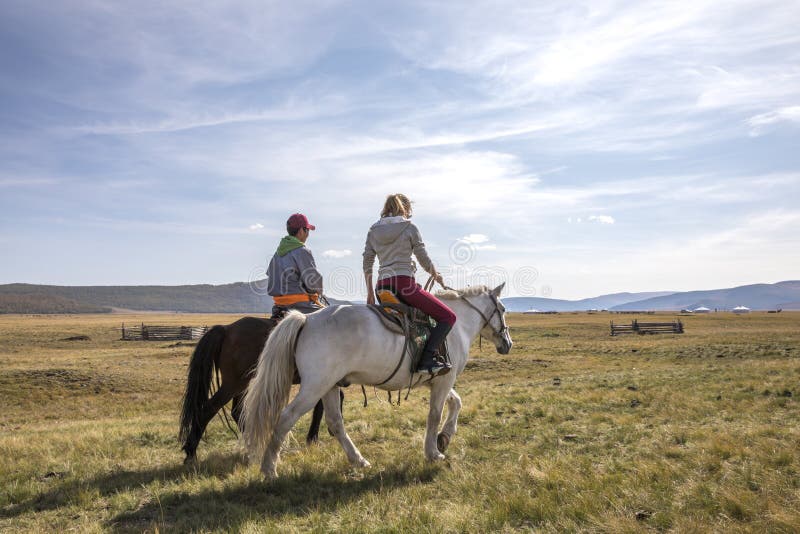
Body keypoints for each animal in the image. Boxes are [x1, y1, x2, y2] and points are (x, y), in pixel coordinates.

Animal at [178, 318, 338, 464]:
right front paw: (315, 438)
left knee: (237, 412)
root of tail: (227, 329)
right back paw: (191, 453)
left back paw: (254, 445)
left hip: (242, 384)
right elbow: (323, 406)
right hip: (233, 384)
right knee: (209, 409)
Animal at [241, 282, 512, 480]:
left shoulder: (439, 379)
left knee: (335, 422)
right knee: (286, 417)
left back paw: (358, 460)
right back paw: (269, 469)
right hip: (314, 387)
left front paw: (444, 438)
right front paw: (434, 452)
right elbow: (435, 414)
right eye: (503, 309)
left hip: (329, 386)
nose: (507, 344)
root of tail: (307, 320)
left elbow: (456, 402)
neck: (458, 327)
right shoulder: (444, 381)